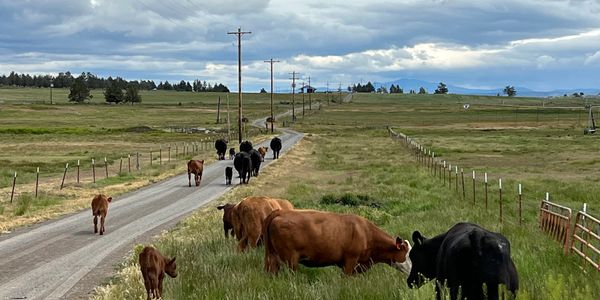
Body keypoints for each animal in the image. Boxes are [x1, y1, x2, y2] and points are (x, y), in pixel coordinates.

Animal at [264, 210, 410, 276]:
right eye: (409, 256)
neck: (366, 232)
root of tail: (281, 212)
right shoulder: (350, 260)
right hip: (291, 259)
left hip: (272, 256)